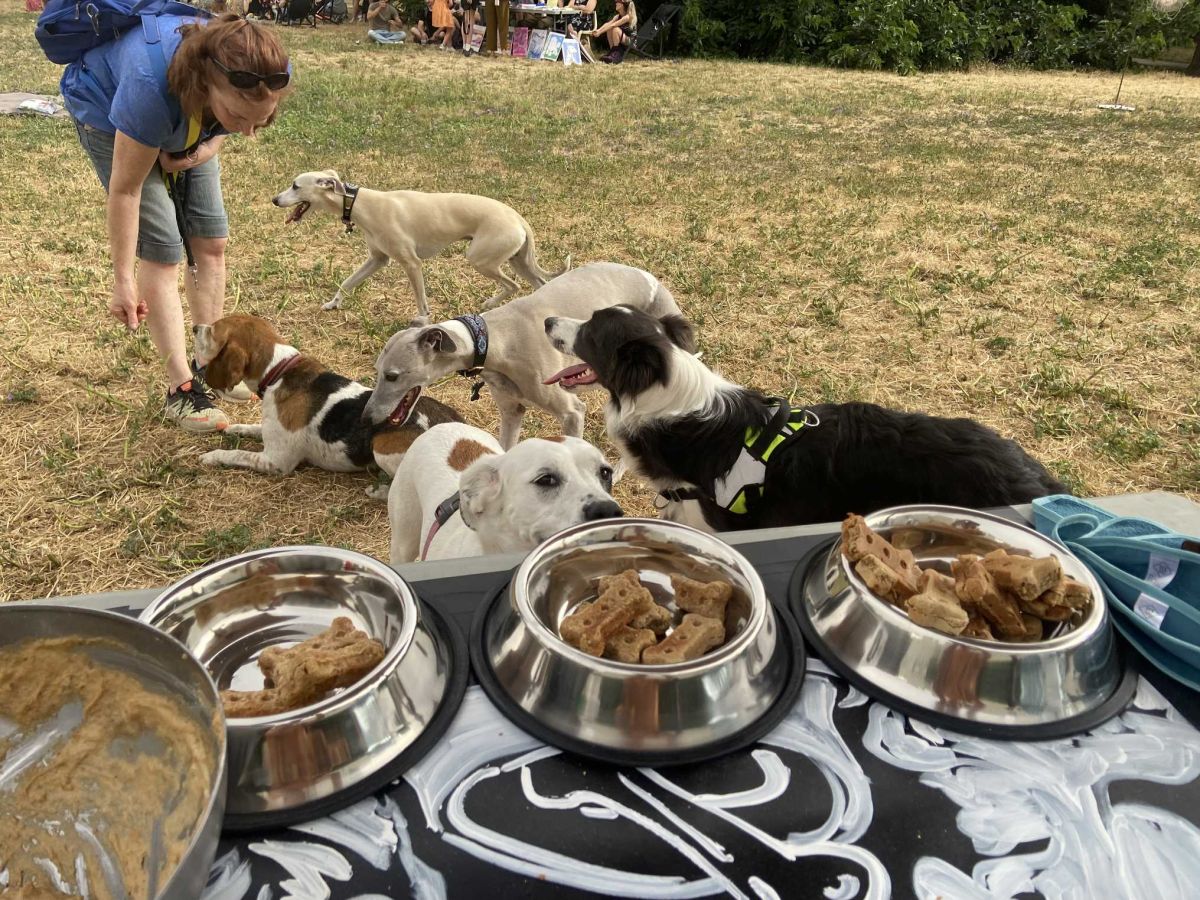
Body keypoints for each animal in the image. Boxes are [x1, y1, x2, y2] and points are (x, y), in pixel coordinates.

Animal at [194, 314, 461, 481]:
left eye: (213, 330)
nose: (195, 327)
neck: (279, 370)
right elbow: (254, 428)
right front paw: (236, 428)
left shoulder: (276, 461)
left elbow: (235, 454)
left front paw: (212, 456)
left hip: (382, 448)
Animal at [272, 171, 568, 320]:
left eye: (295, 186)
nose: (274, 200)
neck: (359, 203)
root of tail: (518, 218)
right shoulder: (377, 259)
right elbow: (347, 282)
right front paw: (333, 304)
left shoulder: (411, 263)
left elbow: (422, 302)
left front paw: (422, 321)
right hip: (517, 260)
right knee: (539, 284)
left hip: (481, 259)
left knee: (513, 286)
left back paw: (490, 303)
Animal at [362, 262, 681, 450]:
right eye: (377, 370)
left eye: (392, 376)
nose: (366, 419)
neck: (492, 339)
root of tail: (649, 277)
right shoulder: (512, 410)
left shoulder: (571, 412)